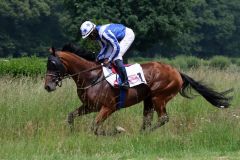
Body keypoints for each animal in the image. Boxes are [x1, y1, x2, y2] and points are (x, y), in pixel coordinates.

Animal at [43, 44, 232, 135]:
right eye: (48, 64)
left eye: (53, 64)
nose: (47, 86)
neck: (92, 77)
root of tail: (176, 71)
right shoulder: (90, 106)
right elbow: (71, 117)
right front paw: (72, 133)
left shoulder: (108, 107)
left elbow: (94, 127)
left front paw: (118, 131)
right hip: (148, 100)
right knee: (148, 119)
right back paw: (141, 133)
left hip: (158, 97)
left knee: (163, 118)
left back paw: (144, 134)